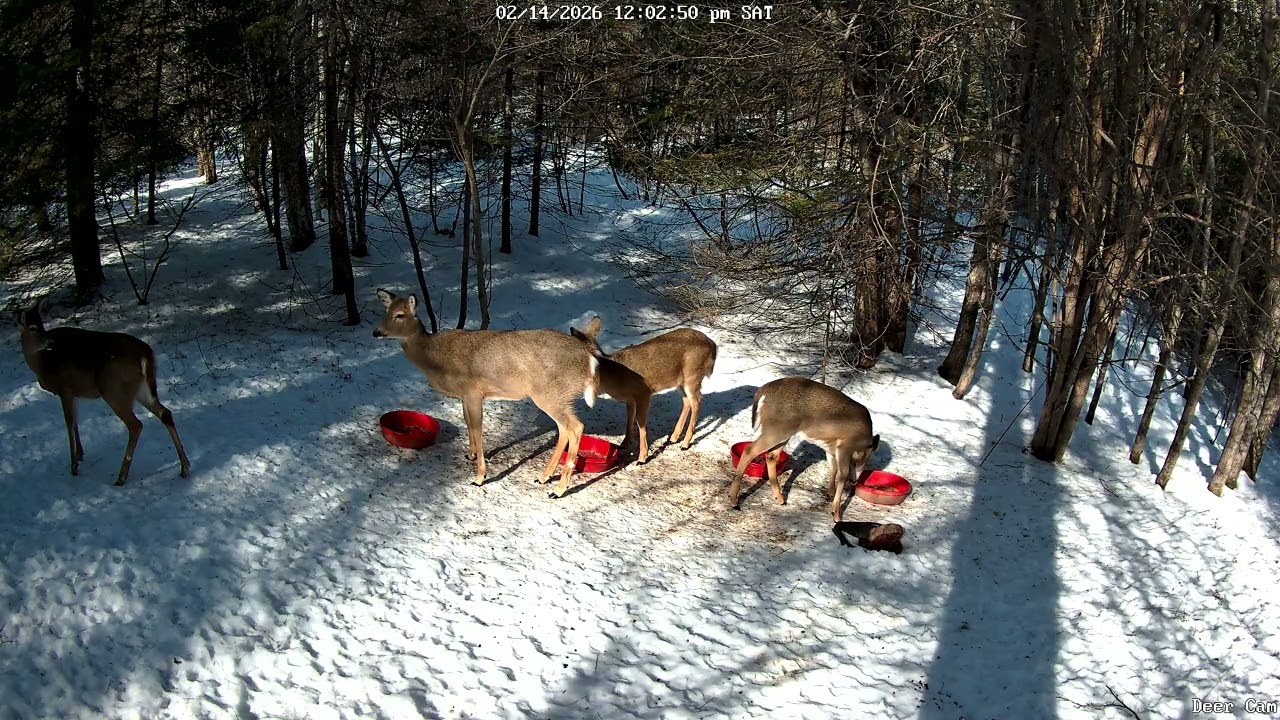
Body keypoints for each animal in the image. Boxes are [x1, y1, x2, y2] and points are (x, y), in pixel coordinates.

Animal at [16, 298, 190, 486]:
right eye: (34, 327)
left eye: (40, 325)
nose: (49, 341)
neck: (41, 363)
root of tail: (146, 355)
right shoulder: (74, 392)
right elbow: (75, 421)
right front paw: (80, 454)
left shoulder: (65, 388)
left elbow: (69, 422)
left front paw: (74, 466)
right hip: (142, 390)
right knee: (165, 413)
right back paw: (184, 467)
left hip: (114, 390)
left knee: (136, 425)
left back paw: (121, 477)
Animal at [373, 289, 600, 498]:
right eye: (386, 311)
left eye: (400, 314)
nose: (377, 332)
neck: (435, 358)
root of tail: (589, 360)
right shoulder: (465, 396)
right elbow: (468, 423)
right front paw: (471, 455)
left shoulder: (473, 392)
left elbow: (477, 427)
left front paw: (479, 477)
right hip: (558, 397)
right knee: (563, 430)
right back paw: (543, 478)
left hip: (550, 394)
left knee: (576, 427)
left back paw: (558, 490)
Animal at [569, 316, 717, 454]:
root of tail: (713, 345)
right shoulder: (630, 398)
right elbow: (629, 419)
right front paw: (624, 444)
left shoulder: (644, 393)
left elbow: (641, 424)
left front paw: (642, 457)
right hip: (680, 381)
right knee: (686, 401)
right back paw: (673, 437)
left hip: (693, 376)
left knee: (696, 402)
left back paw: (685, 444)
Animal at [729, 377, 880, 522]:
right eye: (862, 460)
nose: (854, 481)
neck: (863, 441)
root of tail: (763, 391)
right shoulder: (845, 446)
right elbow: (843, 475)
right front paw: (836, 514)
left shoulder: (830, 449)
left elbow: (833, 469)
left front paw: (831, 492)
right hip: (778, 429)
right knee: (749, 450)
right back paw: (734, 500)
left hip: (784, 432)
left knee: (771, 456)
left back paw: (780, 498)